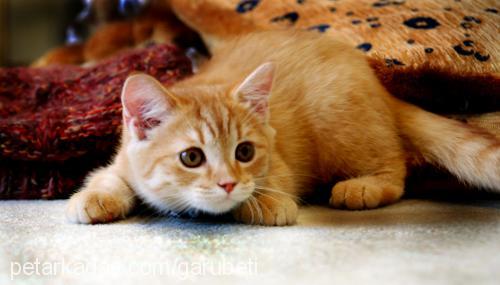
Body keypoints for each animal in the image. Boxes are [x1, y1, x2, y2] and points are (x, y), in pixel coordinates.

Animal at [66, 30, 500, 224]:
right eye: (191, 157)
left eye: (244, 152)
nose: (227, 183)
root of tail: (374, 81)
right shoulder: (122, 160)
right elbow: (108, 176)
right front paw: (94, 196)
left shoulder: (280, 161)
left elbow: (274, 181)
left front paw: (267, 202)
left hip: (340, 121)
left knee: (395, 170)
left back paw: (364, 186)